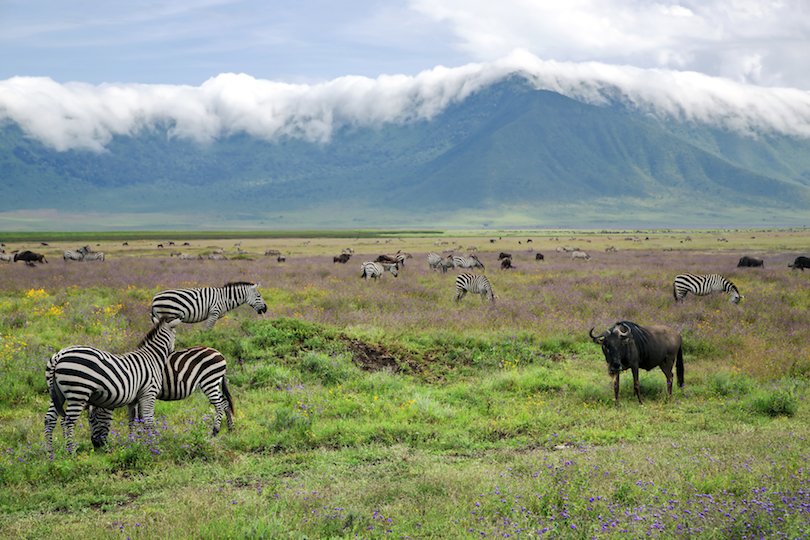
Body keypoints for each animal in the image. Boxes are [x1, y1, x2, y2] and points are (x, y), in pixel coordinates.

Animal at [44, 316, 181, 456]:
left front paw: (134, 444)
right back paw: (71, 452)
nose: (173, 350)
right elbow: (148, 420)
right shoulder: (149, 393)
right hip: (78, 393)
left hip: (57, 394)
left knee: (50, 419)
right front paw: (153, 444)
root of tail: (59, 355)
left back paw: (50, 452)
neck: (152, 356)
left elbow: (133, 421)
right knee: (68, 421)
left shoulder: (134, 399)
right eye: (175, 335)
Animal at [87, 346, 234, 448]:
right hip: (214, 382)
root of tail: (218, 353)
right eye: (89, 421)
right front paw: (140, 437)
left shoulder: (142, 394)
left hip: (209, 381)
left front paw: (142, 437)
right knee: (225, 403)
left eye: (95, 420)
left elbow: (141, 417)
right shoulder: (140, 397)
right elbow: (138, 418)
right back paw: (230, 429)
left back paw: (214, 432)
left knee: (220, 405)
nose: (96, 445)